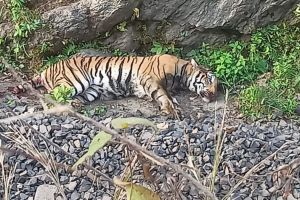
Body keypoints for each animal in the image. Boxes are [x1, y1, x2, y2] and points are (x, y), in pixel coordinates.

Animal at [29, 54, 217, 118]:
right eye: (210, 79)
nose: (215, 94)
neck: (182, 76)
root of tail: (47, 69)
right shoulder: (150, 78)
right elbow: (163, 94)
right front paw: (170, 109)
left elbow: (166, 95)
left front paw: (173, 105)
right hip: (74, 82)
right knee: (49, 96)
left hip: (90, 91)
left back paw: (75, 104)